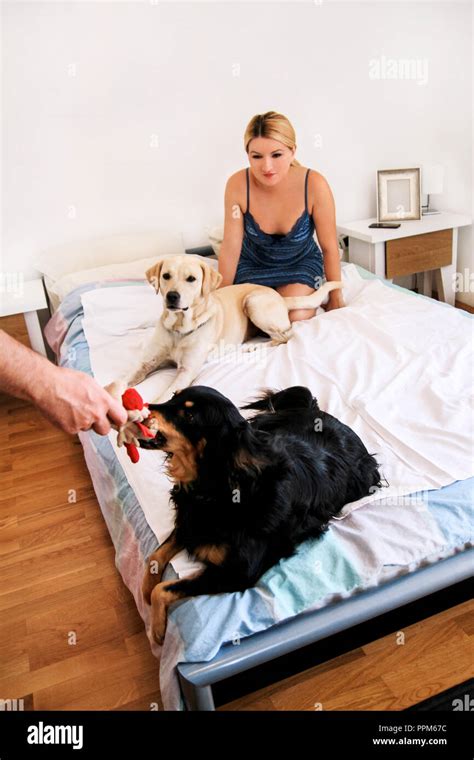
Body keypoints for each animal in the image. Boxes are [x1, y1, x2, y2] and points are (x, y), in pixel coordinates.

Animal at [140, 386, 382, 640]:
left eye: (189, 416)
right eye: (173, 396)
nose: (145, 406)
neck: (220, 487)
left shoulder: (238, 572)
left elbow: (164, 588)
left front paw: (156, 627)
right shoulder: (189, 523)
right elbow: (155, 556)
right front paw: (145, 590)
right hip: (263, 427)